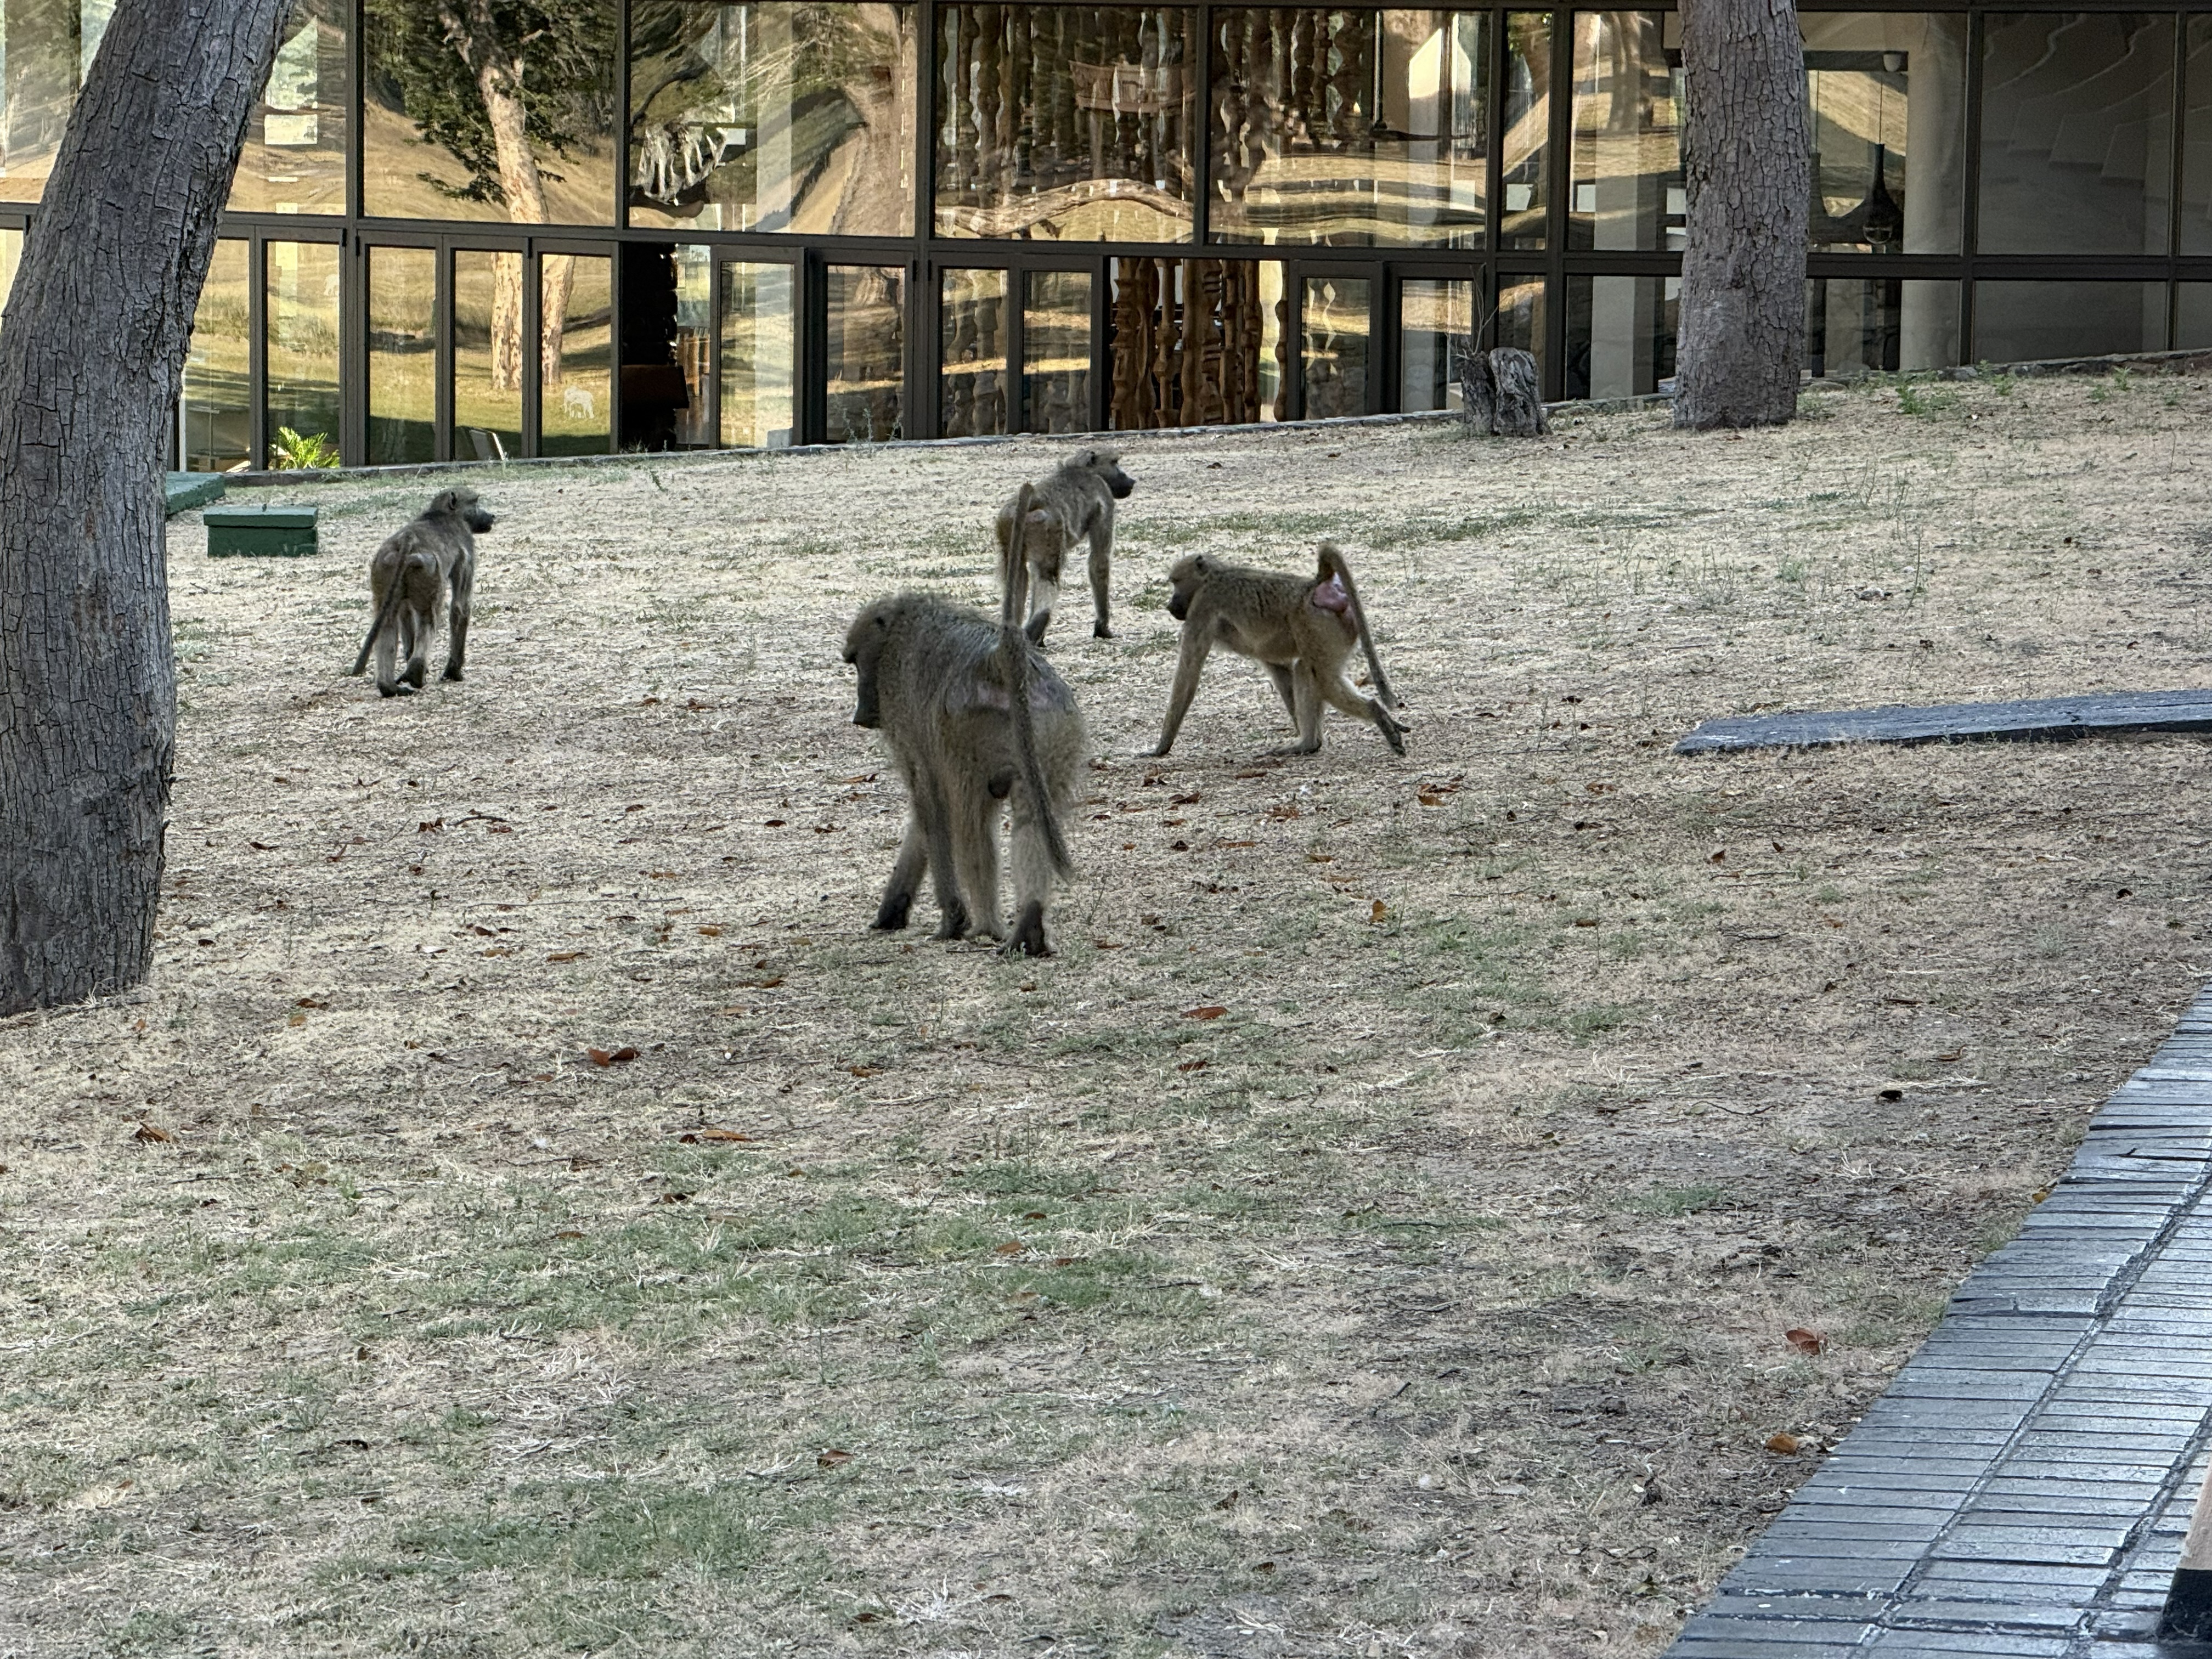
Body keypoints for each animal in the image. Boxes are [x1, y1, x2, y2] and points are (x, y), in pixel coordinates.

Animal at [347, 488, 496, 698]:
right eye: (475, 502)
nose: (490, 516)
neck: (443, 514)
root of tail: (406, 540)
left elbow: (405, 615)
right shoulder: (468, 547)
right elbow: (460, 608)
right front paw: (453, 672)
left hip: (384, 566)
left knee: (388, 622)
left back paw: (389, 687)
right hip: (428, 569)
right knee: (428, 618)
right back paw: (416, 674)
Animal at [842, 529, 1086, 956]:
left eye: (856, 662)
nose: (859, 715)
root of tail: (999, 659)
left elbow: (929, 804)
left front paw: (952, 919)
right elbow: (922, 820)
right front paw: (893, 908)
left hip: (966, 732)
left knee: (971, 818)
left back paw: (987, 926)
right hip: (1052, 728)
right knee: (1030, 817)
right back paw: (1030, 927)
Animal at [995, 447, 1135, 642]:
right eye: (1115, 463)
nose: (1131, 480)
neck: (1083, 469)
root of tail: (1034, 500)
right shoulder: (1106, 497)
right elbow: (1099, 561)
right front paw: (1103, 629)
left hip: (1008, 525)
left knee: (1019, 575)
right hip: (1050, 528)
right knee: (1049, 578)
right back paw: (1033, 632)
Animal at [1147, 542, 1406, 759]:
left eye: (1176, 582)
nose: (1170, 605)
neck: (1213, 576)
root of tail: (1312, 587)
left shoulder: (1203, 605)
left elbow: (1188, 673)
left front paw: (1160, 748)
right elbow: (1280, 669)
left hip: (1316, 624)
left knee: (1321, 678)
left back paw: (1368, 714)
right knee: (1306, 671)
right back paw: (1310, 742)